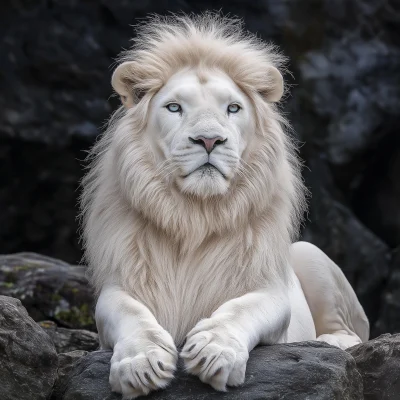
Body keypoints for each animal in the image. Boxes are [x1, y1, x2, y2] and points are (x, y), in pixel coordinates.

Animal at [80, 13, 368, 400]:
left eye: (233, 108)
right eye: (174, 107)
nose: (209, 140)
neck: (196, 216)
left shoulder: (270, 291)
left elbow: (241, 309)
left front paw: (213, 351)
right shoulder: (119, 284)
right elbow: (130, 313)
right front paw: (140, 364)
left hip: (310, 254)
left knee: (350, 332)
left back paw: (331, 344)